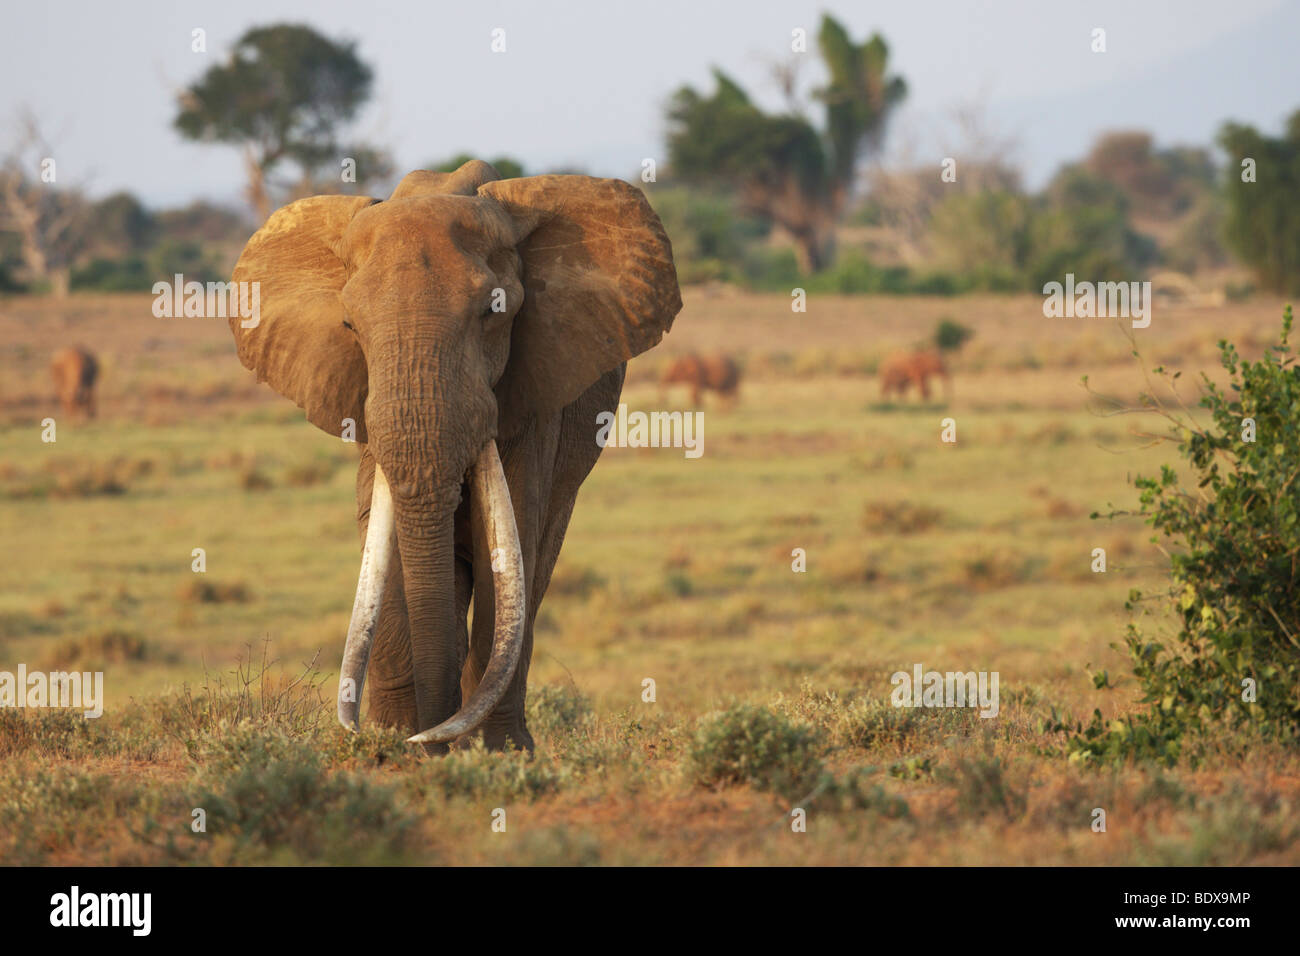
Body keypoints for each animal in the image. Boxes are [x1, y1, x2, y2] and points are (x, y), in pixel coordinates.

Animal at [228, 161, 682, 753]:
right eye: (350, 326)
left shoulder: (533, 393)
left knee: (535, 566)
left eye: (493, 312)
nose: (429, 742)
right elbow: (386, 536)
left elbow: (508, 549)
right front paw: (392, 745)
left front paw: (494, 753)